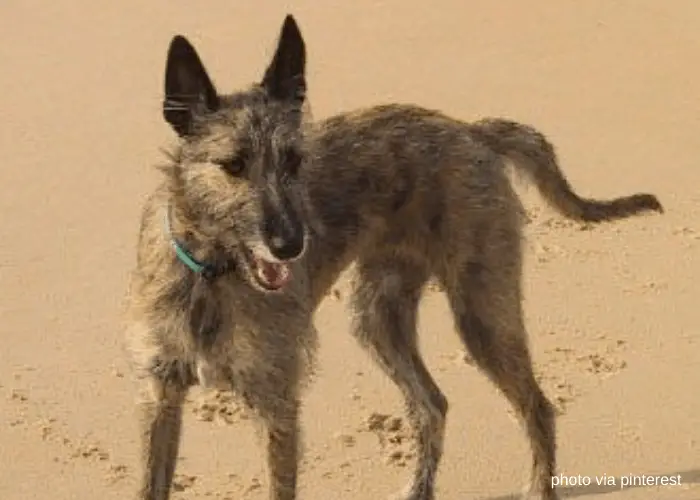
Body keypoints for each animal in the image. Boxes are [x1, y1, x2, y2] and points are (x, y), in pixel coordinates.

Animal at [123, 13, 664, 498]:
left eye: (296, 161)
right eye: (233, 165)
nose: (293, 244)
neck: (212, 274)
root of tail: (473, 131)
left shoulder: (275, 404)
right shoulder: (160, 397)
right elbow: (150, 483)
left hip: (483, 315)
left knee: (536, 406)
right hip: (379, 319)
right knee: (433, 404)